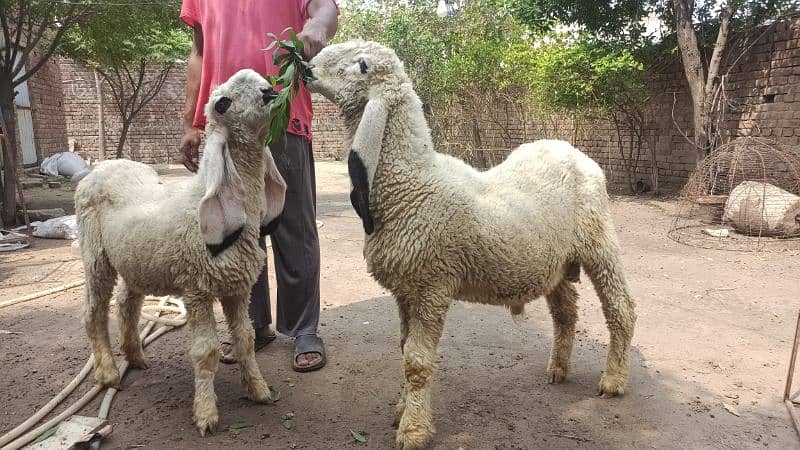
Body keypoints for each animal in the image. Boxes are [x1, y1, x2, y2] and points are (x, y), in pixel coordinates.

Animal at [74, 69, 288, 436]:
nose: (270, 94)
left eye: (264, 81)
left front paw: (259, 390)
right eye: (222, 103)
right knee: (93, 311)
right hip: (95, 253)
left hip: (136, 257)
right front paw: (205, 413)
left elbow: (245, 339)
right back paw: (108, 372)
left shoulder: (237, 288)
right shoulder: (197, 288)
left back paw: (135, 355)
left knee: (126, 302)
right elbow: (206, 351)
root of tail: (102, 166)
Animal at [306, 40, 636, 448]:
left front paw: (413, 429)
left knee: (621, 307)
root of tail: (569, 148)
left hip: (598, 239)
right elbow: (403, 348)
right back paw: (558, 367)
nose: (306, 67)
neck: (412, 183)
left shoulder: (432, 286)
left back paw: (614, 380)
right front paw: (402, 409)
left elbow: (416, 362)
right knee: (565, 311)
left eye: (362, 65)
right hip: (555, 261)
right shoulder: (405, 290)